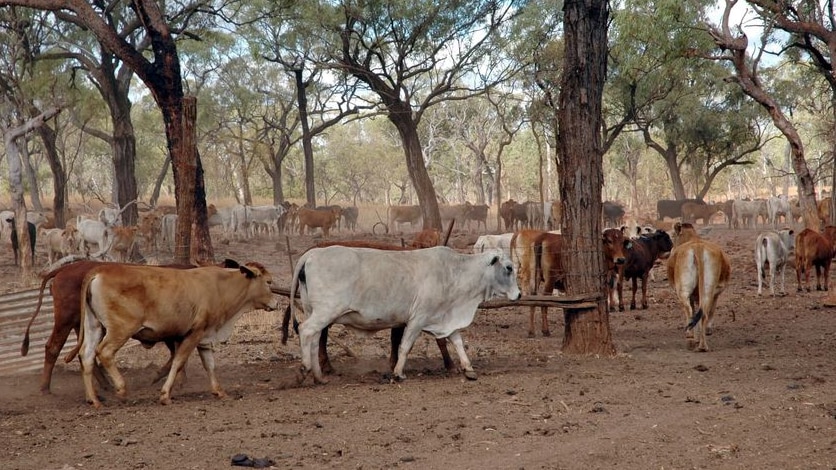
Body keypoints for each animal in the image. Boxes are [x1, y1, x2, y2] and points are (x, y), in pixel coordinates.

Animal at [68, 260, 278, 408]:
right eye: (268, 282)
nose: (276, 303)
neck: (221, 287)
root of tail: (99, 271)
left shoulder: (204, 336)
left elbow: (209, 364)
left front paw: (220, 392)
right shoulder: (194, 333)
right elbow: (178, 362)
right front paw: (165, 395)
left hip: (94, 326)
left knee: (86, 355)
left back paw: (94, 400)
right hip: (120, 329)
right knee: (104, 352)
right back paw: (120, 389)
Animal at [290, 248, 520, 384]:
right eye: (509, 268)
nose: (519, 295)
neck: (455, 274)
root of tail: (312, 253)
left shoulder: (445, 318)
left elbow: (458, 342)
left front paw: (469, 369)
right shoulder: (418, 319)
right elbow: (405, 346)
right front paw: (398, 372)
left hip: (315, 311)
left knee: (314, 340)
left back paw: (319, 376)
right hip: (325, 312)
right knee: (305, 330)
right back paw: (304, 369)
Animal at [668, 222, 728, 350]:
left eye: (672, 236)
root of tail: (698, 248)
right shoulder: (714, 294)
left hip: (683, 291)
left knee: (689, 311)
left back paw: (691, 337)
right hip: (707, 291)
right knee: (703, 314)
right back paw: (702, 346)